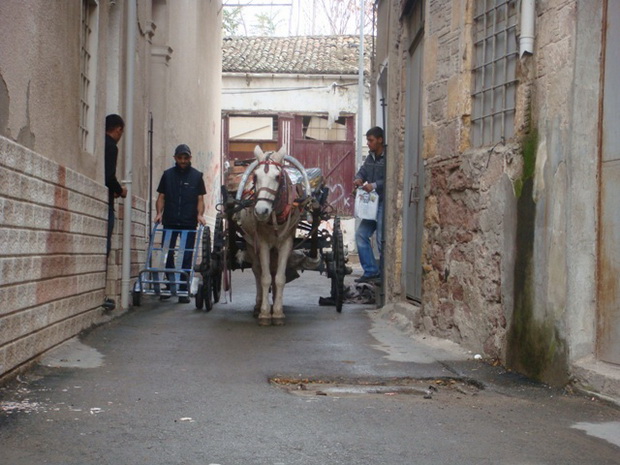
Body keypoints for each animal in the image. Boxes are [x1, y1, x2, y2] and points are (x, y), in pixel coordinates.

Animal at [234, 147, 308, 324]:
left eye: (278, 177)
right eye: (255, 176)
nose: (261, 211)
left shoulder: (286, 242)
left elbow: (280, 277)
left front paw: (278, 312)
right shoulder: (262, 244)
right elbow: (265, 277)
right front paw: (265, 313)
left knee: (274, 272)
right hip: (250, 243)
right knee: (257, 270)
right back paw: (259, 304)